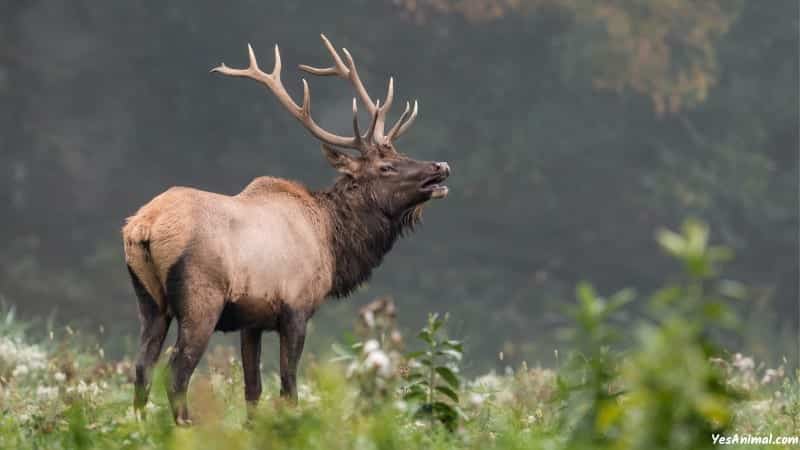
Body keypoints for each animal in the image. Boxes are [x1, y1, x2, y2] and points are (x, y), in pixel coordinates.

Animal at [123, 36, 450, 426]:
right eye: (386, 166)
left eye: (400, 153)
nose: (440, 166)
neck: (332, 242)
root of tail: (143, 226)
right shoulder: (296, 307)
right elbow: (289, 388)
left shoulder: (251, 320)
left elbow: (252, 390)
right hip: (201, 298)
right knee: (176, 372)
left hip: (150, 301)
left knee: (142, 367)